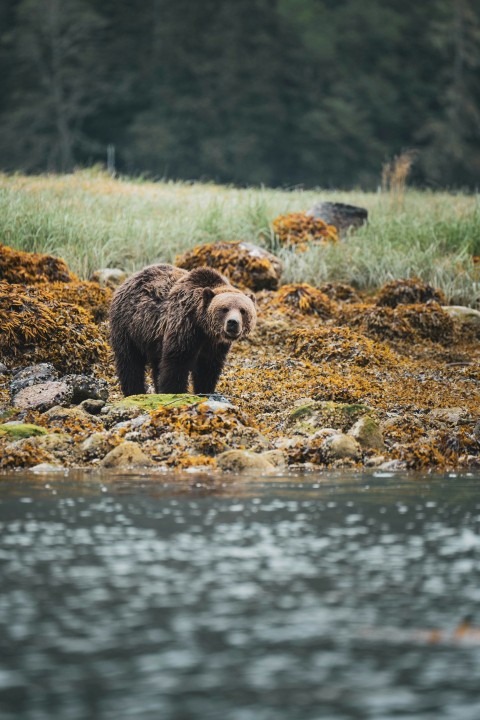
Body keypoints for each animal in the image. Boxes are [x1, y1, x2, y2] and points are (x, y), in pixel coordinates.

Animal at [109, 263, 257, 396]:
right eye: (224, 309)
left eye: (243, 310)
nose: (233, 323)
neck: (204, 328)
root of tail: (127, 281)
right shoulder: (184, 325)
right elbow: (176, 362)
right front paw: (174, 391)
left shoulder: (214, 345)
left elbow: (208, 368)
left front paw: (205, 390)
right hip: (129, 327)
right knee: (130, 362)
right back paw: (134, 392)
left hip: (153, 337)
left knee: (156, 364)